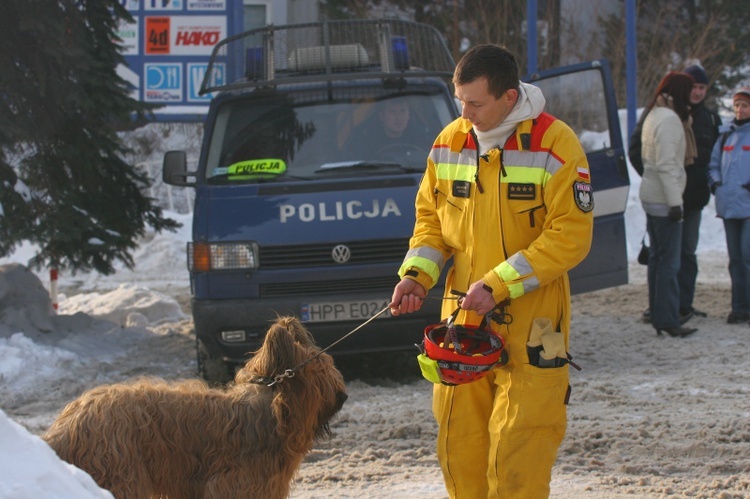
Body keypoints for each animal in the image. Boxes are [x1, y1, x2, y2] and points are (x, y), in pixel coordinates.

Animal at [41, 318, 346, 498]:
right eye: (321, 371)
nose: (343, 396)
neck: (271, 410)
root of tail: (65, 428)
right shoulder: (232, 485)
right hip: (122, 472)